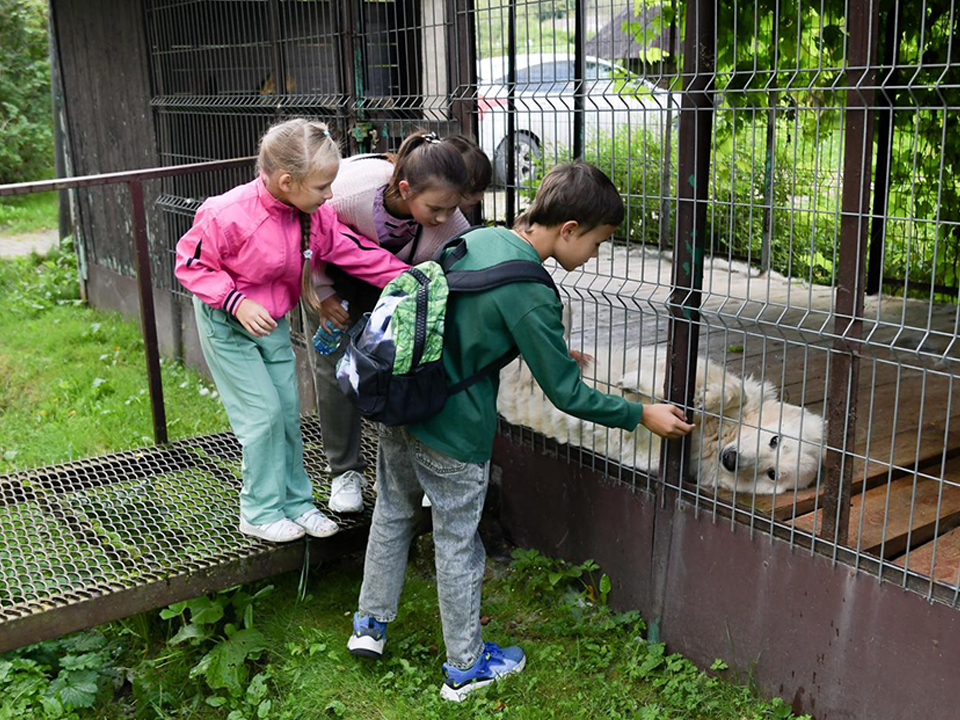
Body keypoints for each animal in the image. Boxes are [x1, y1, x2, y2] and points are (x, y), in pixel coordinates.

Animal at [496, 344, 824, 492]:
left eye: (772, 474)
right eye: (774, 440)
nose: (730, 460)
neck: (717, 438)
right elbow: (733, 392)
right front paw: (704, 398)